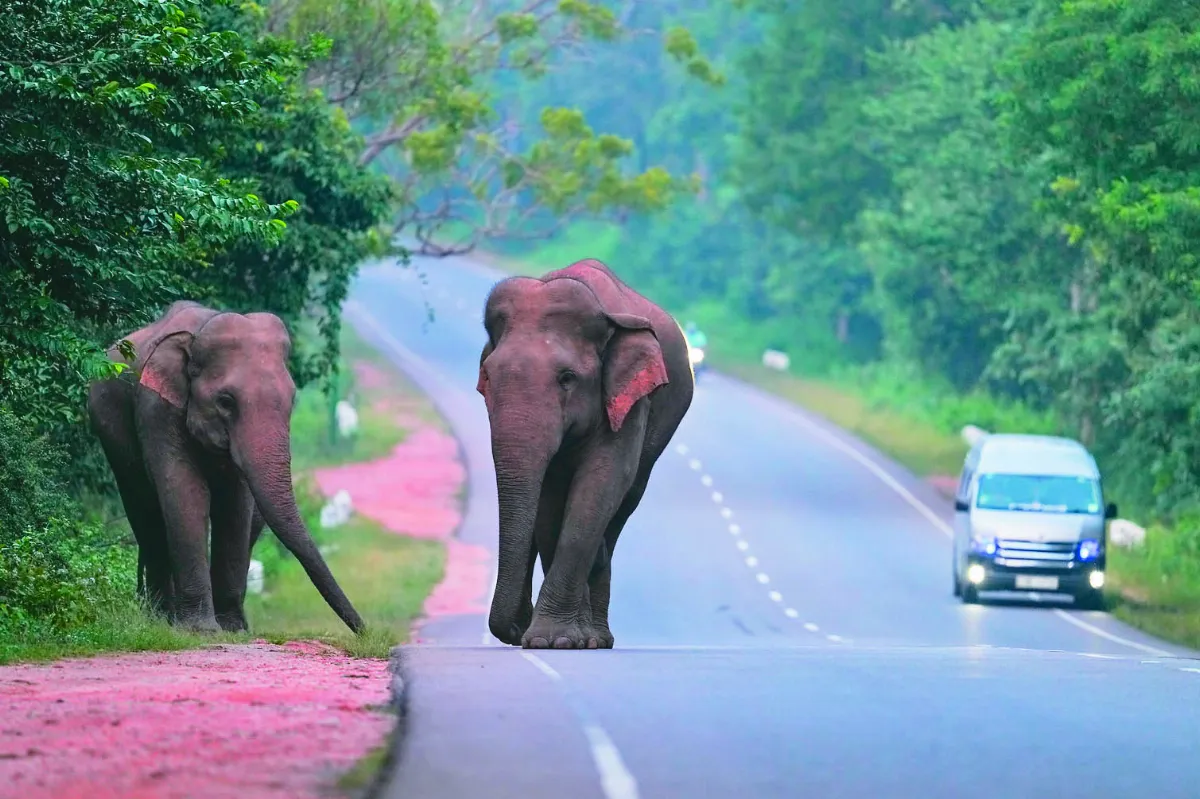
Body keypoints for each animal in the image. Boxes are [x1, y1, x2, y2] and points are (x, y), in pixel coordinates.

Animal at [88, 301, 364, 634]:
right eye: (226, 401)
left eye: (292, 399)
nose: (365, 631)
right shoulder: (156, 407)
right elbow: (187, 492)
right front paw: (201, 630)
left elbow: (235, 503)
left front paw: (232, 629)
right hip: (111, 433)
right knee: (145, 512)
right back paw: (161, 619)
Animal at [476, 258, 694, 649]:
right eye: (487, 377)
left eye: (567, 378)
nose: (515, 631)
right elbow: (550, 501)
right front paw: (558, 639)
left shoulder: (630, 398)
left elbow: (603, 481)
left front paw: (554, 641)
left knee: (625, 502)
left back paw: (599, 637)